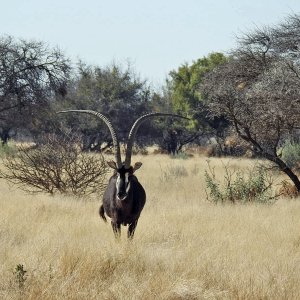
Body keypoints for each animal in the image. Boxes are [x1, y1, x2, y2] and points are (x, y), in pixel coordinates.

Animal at [57, 110, 188, 239]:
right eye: (117, 175)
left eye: (129, 176)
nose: (121, 194)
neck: (123, 205)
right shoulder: (114, 222)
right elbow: (118, 239)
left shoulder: (134, 222)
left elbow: (129, 239)